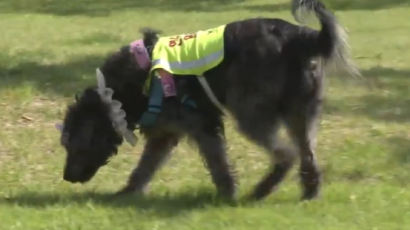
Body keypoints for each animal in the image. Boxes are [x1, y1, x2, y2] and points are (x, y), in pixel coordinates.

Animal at [58, 0, 358, 200]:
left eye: (74, 145)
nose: (67, 177)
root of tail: (300, 36)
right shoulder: (164, 135)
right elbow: (145, 167)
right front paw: (128, 192)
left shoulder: (201, 124)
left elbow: (218, 163)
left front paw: (227, 193)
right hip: (300, 113)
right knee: (306, 154)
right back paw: (309, 192)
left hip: (251, 114)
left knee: (287, 154)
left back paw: (263, 189)